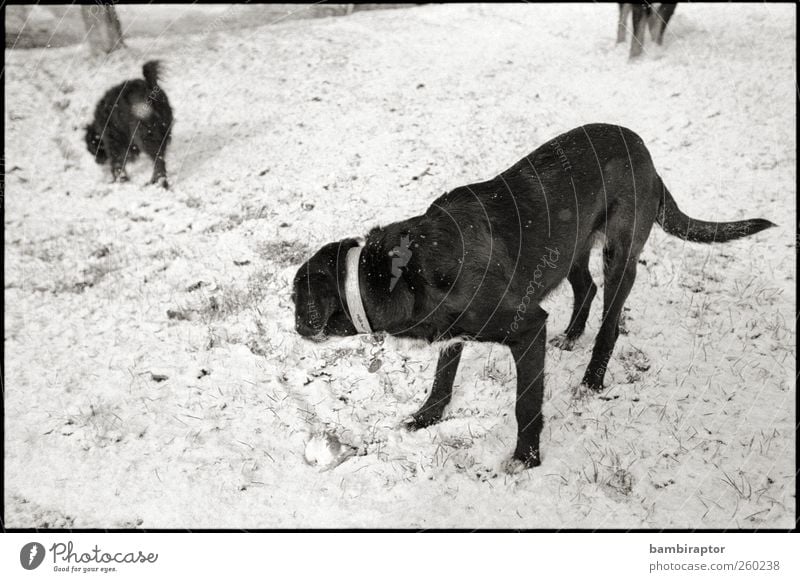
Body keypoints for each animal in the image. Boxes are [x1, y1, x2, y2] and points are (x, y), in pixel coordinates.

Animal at [294, 124, 776, 470]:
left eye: (297, 300)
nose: (295, 326)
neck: (403, 269)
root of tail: (647, 154)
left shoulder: (527, 328)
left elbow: (525, 403)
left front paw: (526, 459)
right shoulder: (453, 333)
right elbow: (442, 378)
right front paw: (426, 417)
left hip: (620, 254)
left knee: (610, 321)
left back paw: (592, 378)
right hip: (567, 246)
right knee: (587, 287)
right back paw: (573, 335)